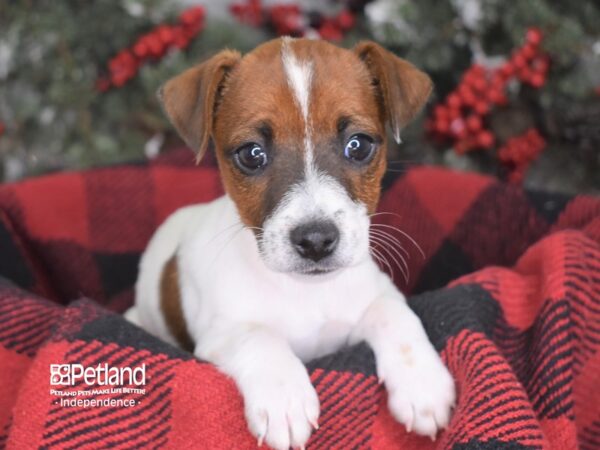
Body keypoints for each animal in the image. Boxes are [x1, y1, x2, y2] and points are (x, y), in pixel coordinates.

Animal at [126, 37, 454, 450]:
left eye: (358, 145)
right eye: (252, 154)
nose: (315, 240)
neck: (304, 292)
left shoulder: (373, 297)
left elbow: (395, 315)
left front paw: (423, 383)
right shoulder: (220, 334)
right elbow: (259, 336)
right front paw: (284, 396)